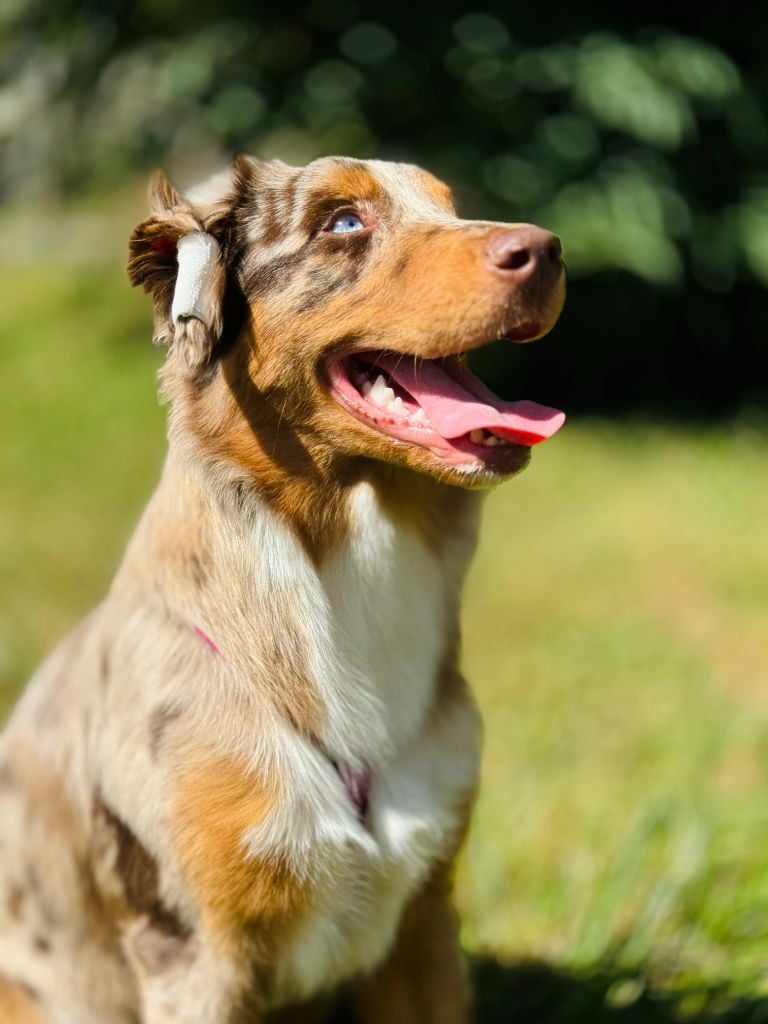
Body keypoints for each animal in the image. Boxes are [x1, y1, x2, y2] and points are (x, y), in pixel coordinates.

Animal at [0, 154, 565, 1023]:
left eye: (450, 206)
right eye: (343, 222)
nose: (547, 249)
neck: (348, 569)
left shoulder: (424, 918)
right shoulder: (192, 947)